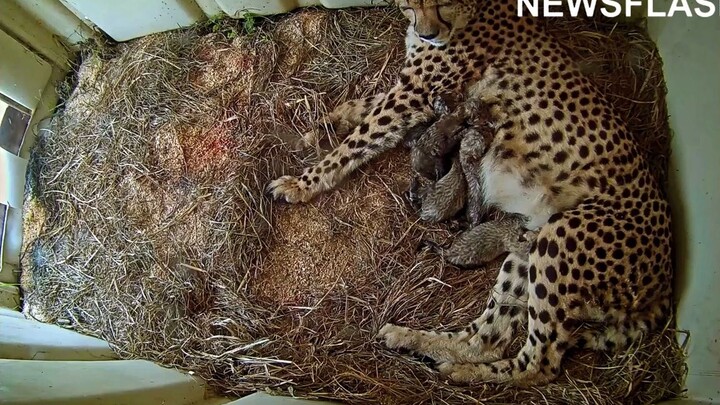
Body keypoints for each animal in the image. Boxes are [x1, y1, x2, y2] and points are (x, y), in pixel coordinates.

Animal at [268, 0, 673, 387]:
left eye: (442, 4)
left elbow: (360, 138)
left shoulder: (415, 92)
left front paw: (303, 183)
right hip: (529, 243)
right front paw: (319, 128)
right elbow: (363, 106)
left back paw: (466, 373)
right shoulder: (418, 88)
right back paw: (419, 343)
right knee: (486, 339)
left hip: (561, 239)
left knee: (541, 362)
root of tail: (665, 275)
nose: (428, 34)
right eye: (411, 5)